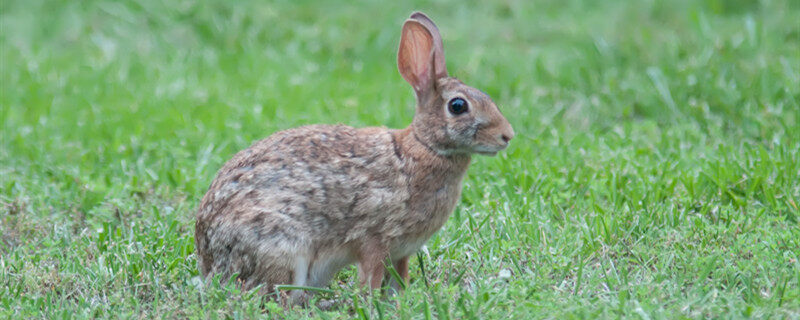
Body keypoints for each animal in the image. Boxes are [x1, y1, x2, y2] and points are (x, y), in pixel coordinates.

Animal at [197, 11, 516, 302]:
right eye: (458, 106)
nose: (507, 136)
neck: (424, 147)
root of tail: (208, 262)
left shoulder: (401, 252)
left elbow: (399, 278)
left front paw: (397, 302)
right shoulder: (375, 239)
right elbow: (371, 276)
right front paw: (371, 301)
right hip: (282, 248)